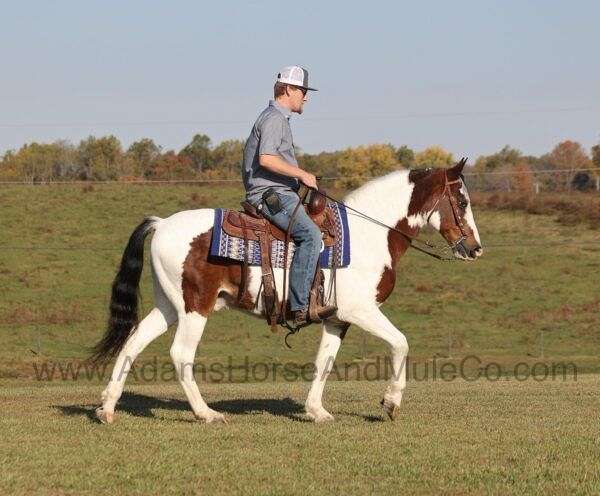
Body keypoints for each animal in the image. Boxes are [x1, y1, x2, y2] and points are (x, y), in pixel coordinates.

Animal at [92, 161, 482, 424]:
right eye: (462, 201)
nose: (476, 248)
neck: (369, 236)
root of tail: (161, 224)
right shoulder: (361, 311)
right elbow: (401, 343)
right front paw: (390, 403)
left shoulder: (337, 319)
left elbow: (324, 361)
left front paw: (316, 411)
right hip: (195, 306)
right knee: (181, 354)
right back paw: (207, 413)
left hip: (168, 305)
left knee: (133, 342)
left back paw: (107, 408)